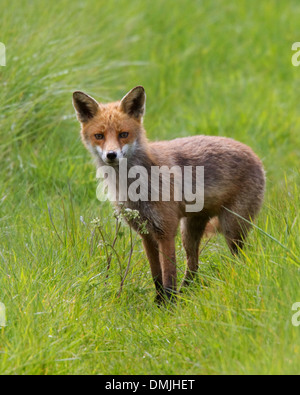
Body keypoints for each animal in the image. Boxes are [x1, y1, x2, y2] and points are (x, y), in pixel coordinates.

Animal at [72, 86, 264, 304]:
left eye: (123, 134)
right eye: (99, 136)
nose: (111, 155)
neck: (134, 187)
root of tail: (253, 153)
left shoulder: (166, 230)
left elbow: (169, 275)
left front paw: (170, 305)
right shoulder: (146, 233)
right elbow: (156, 275)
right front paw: (159, 302)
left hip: (232, 229)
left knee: (239, 261)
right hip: (189, 232)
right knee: (193, 267)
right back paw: (187, 293)